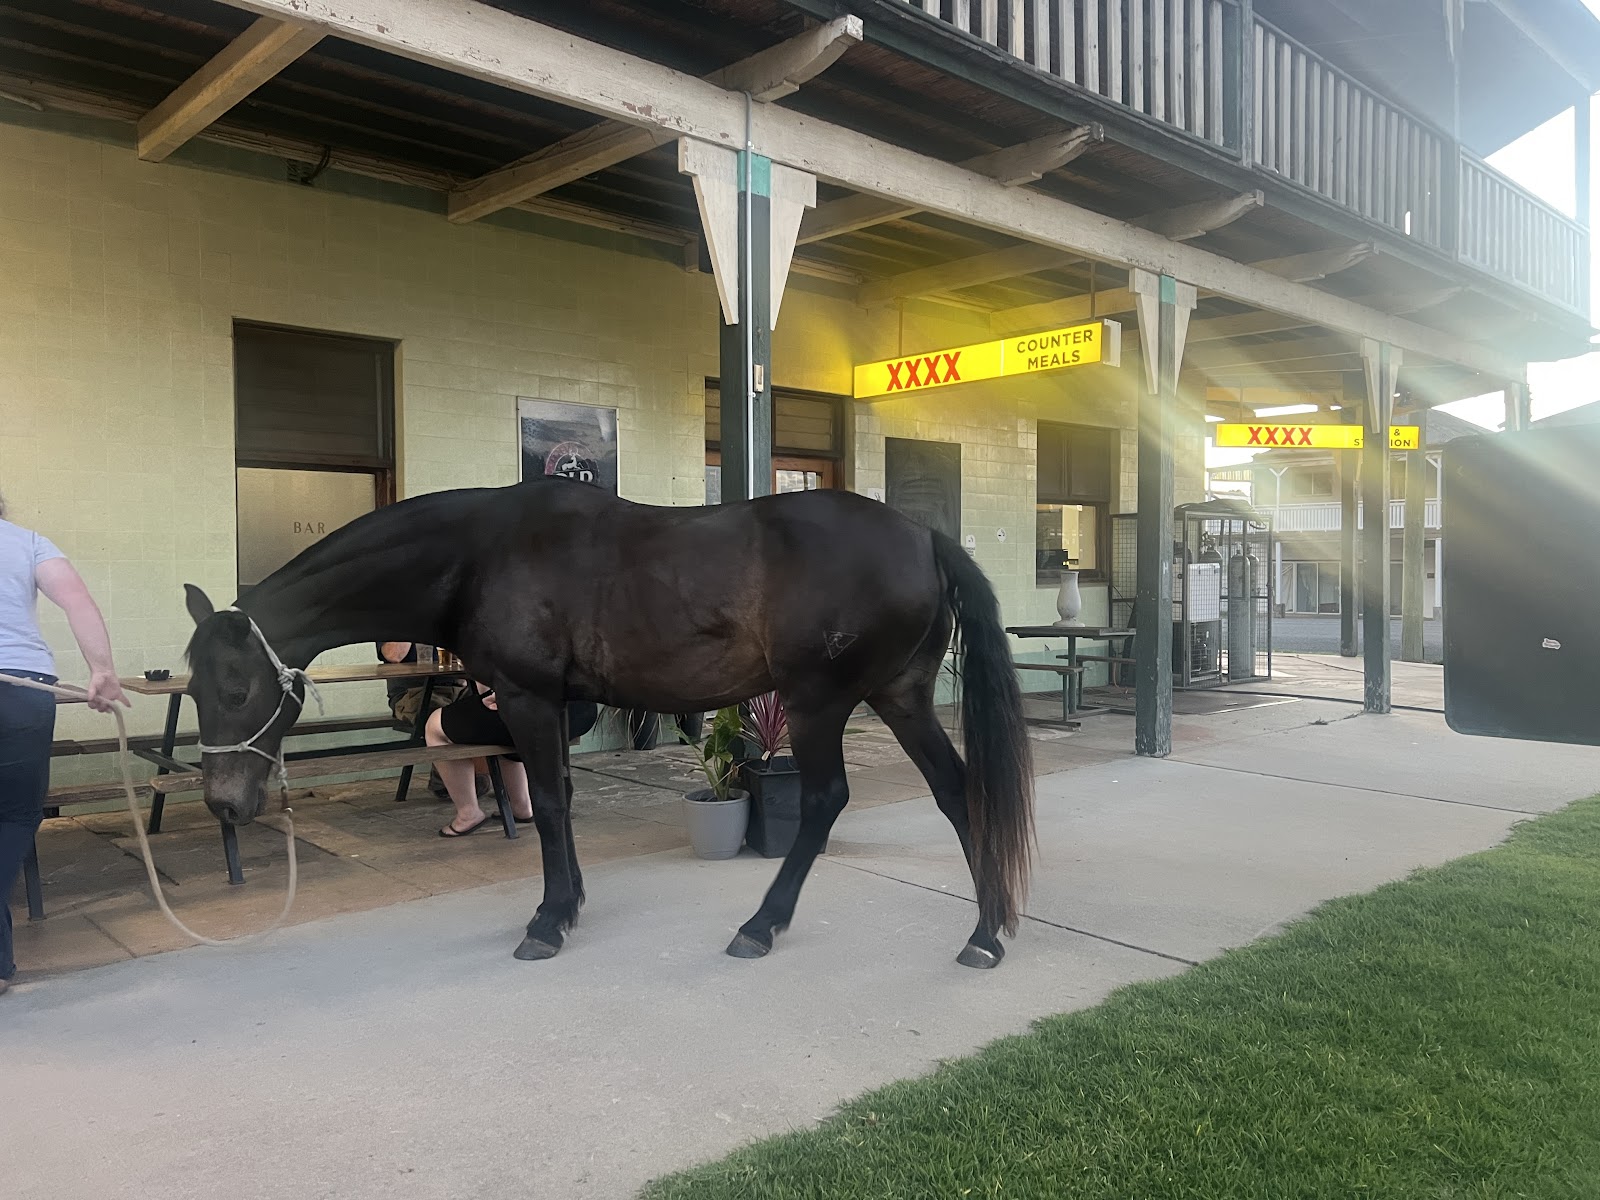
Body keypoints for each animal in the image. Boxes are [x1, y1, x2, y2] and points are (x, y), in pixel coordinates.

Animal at [182, 480, 1034, 968]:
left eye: (234, 685)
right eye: (191, 686)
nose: (223, 802)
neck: (478, 550)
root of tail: (923, 536)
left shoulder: (527, 699)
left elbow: (553, 804)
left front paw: (549, 920)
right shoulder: (549, 706)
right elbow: (555, 799)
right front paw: (571, 904)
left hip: (818, 700)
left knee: (825, 801)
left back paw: (761, 926)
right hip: (900, 695)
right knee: (958, 790)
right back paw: (986, 932)